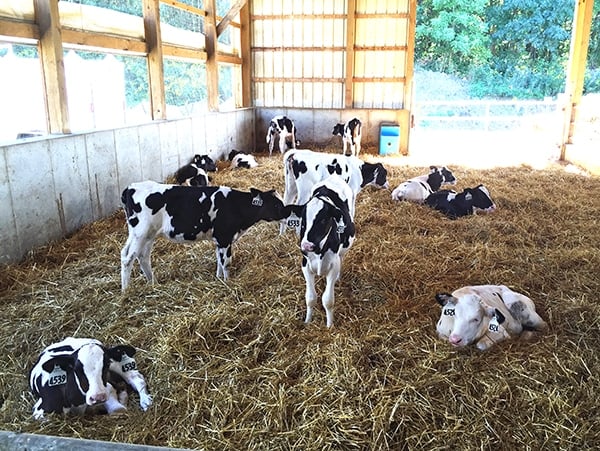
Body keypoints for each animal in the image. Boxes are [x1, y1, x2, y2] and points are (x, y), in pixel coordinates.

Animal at [120, 180, 288, 290]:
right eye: (276, 204)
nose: (289, 213)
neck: (235, 206)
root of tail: (130, 187)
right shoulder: (224, 237)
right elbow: (226, 262)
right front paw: (228, 283)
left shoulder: (219, 239)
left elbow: (219, 260)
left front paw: (219, 279)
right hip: (140, 232)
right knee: (128, 258)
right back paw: (125, 291)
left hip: (147, 234)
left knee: (140, 256)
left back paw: (153, 283)